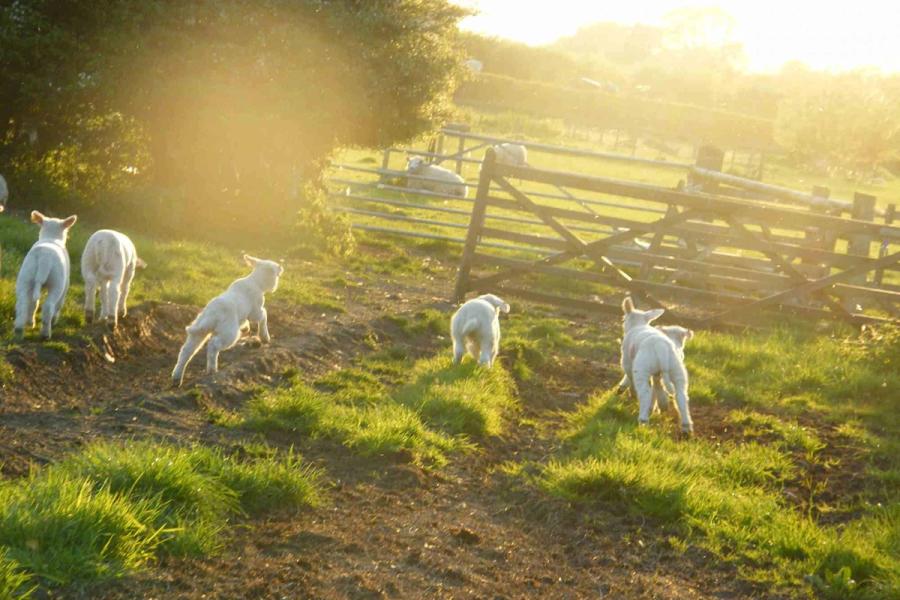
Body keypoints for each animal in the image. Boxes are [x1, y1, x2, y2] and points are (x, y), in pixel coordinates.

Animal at [14, 211, 77, 340]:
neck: (51, 237)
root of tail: (44, 257)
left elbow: (33, 303)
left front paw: (30, 322)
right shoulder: (66, 284)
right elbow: (59, 304)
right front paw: (54, 320)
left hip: (25, 277)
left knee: (22, 303)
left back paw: (19, 329)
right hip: (57, 282)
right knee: (48, 307)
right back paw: (46, 333)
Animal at [172, 255, 283, 387]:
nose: (281, 268)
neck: (255, 282)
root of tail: (212, 315)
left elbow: (247, 320)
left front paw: (246, 327)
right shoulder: (255, 311)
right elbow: (264, 315)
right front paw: (265, 336)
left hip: (198, 331)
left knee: (186, 351)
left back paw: (177, 377)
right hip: (228, 333)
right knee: (213, 345)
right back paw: (212, 369)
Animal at [619, 297, 693, 433]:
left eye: (623, 319)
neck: (639, 325)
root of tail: (661, 347)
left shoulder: (626, 361)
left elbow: (630, 377)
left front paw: (630, 392)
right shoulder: (657, 373)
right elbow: (657, 385)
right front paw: (661, 404)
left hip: (641, 369)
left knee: (645, 393)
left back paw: (643, 420)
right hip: (677, 370)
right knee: (681, 396)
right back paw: (686, 427)